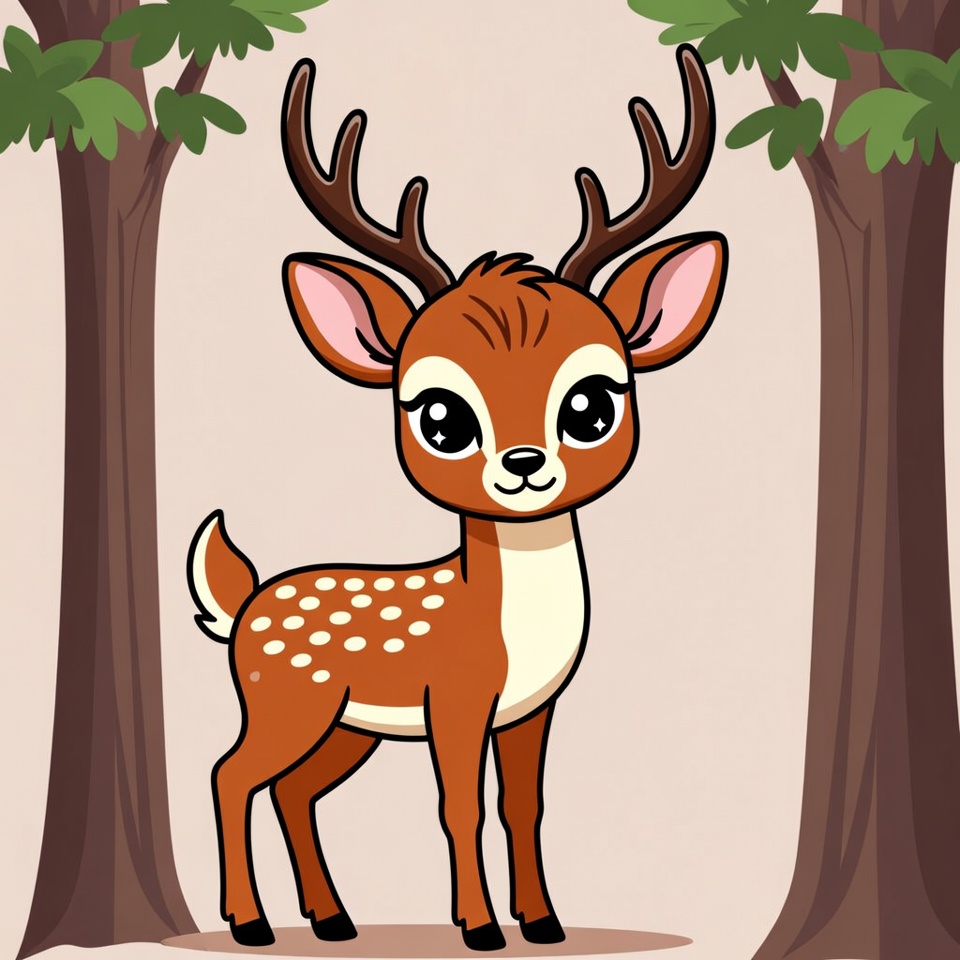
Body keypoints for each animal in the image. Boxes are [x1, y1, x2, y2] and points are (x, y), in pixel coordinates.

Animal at [187, 43, 727, 952]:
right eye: (440, 416)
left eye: (592, 403)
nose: (524, 464)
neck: (508, 623)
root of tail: (244, 607)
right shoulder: (456, 699)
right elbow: (458, 806)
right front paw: (479, 929)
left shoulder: (530, 710)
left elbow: (524, 805)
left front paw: (543, 922)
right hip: (288, 698)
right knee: (232, 774)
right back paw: (252, 923)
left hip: (345, 726)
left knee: (294, 789)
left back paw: (333, 919)